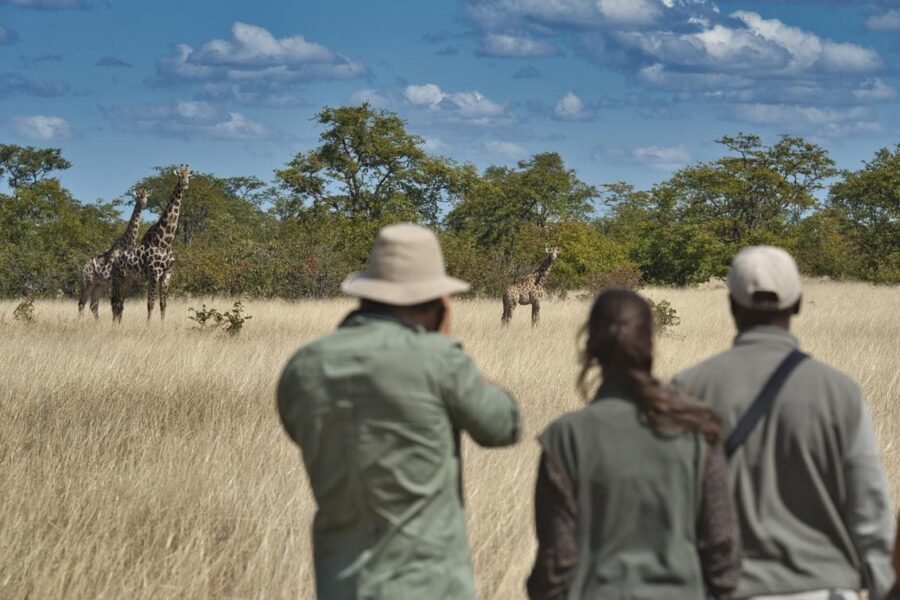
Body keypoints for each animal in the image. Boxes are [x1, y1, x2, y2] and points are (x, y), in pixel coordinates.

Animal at [77, 188, 150, 319]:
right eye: (137, 196)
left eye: (146, 196)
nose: (143, 203)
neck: (128, 243)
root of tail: (82, 268)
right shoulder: (119, 280)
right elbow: (118, 304)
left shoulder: (125, 282)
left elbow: (120, 304)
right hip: (87, 283)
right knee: (81, 304)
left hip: (99, 285)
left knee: (93, 305)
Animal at [111, 165, 191, 322]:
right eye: (179, 175)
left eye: (188, 175)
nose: (185, 185)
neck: (165, 241)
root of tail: (114, 259)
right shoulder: (154, 273)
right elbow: (150, 303)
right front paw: (148, 325)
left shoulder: (167, 273)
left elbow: (163, 303)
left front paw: (162, 324)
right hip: (119, 278)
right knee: (115, 302)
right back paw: (114, 324)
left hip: (128, 280)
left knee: (120, 302)